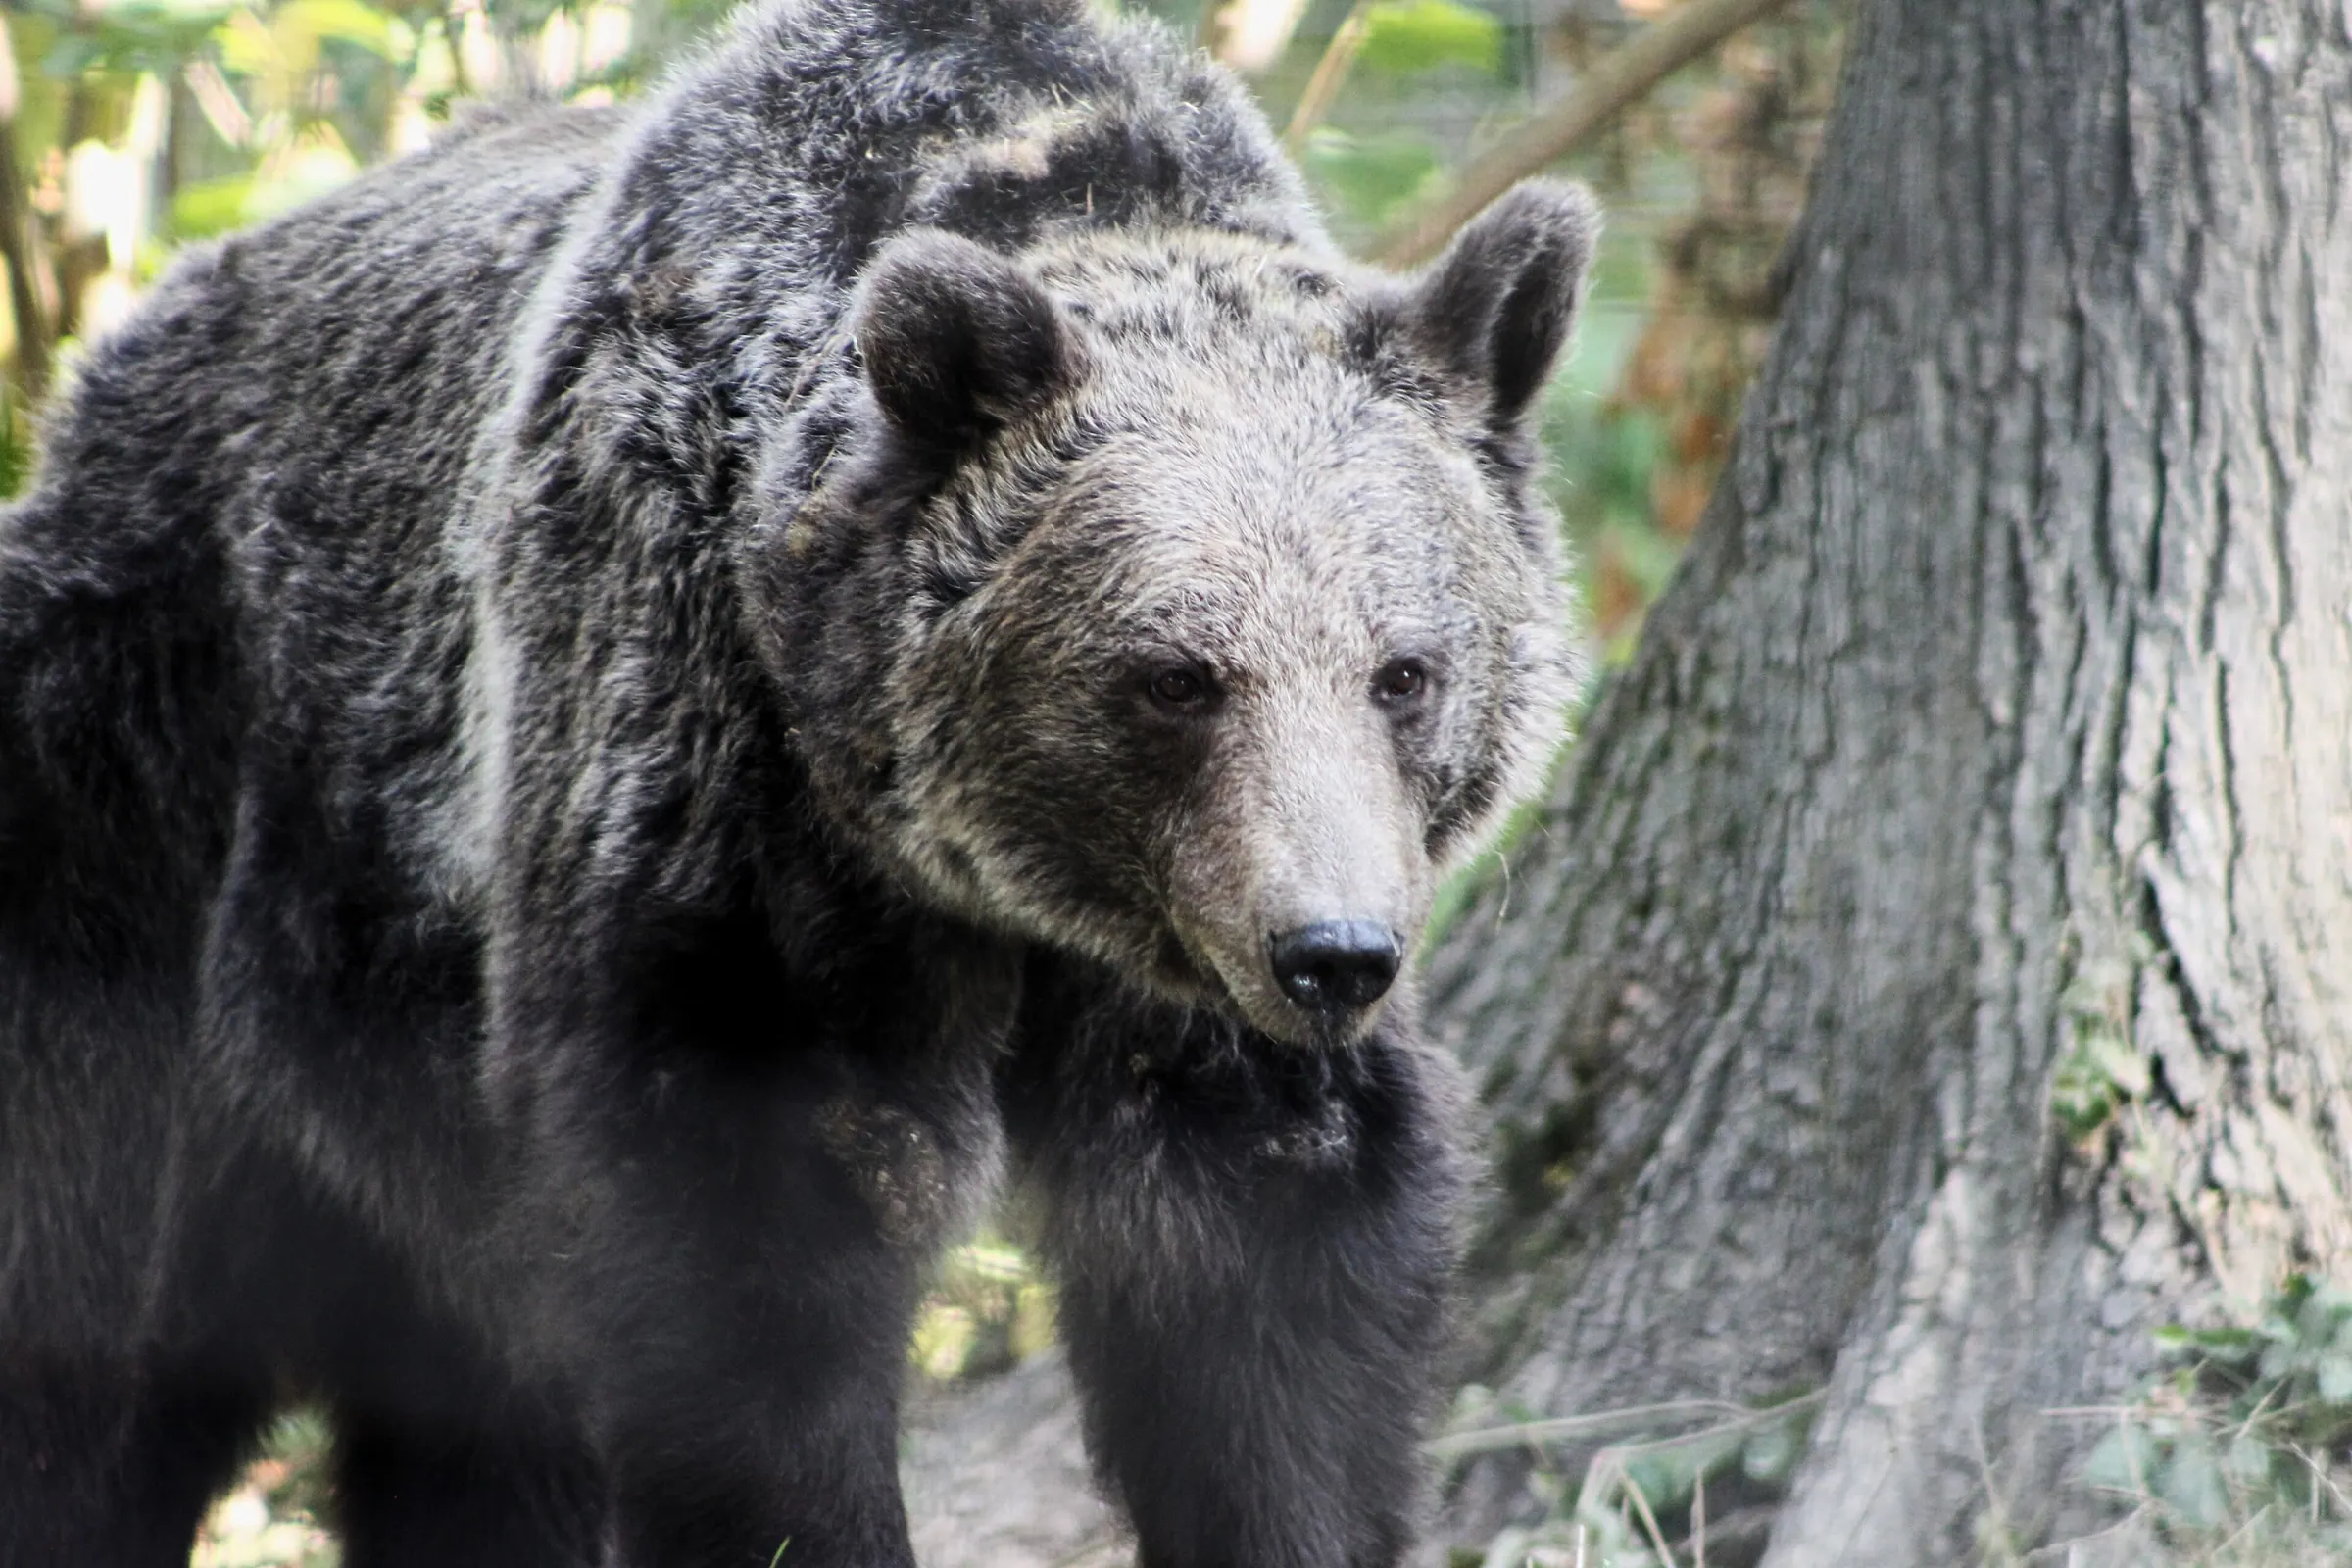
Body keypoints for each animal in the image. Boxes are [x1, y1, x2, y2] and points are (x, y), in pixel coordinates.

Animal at [0, 0, 1595, 1562]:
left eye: (1404, 670)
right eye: (1177, 676)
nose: (1334, 952)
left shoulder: (1189, 977)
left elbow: (1272, 1299)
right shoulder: (719, 796)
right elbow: (749, 1272)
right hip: (150, 808)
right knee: (87, 1316)